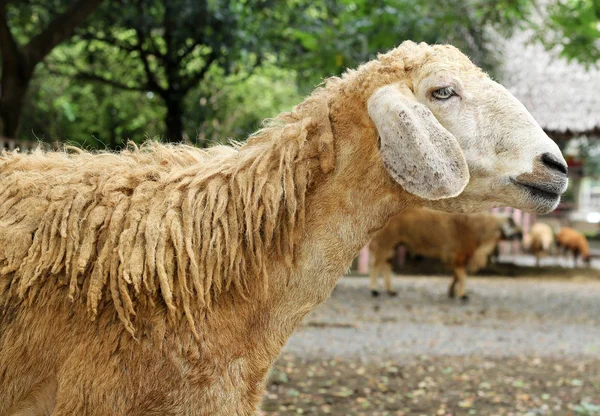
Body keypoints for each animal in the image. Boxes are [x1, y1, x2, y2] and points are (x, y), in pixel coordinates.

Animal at [368, 210, 524, 300]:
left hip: (393, 244)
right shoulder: (459, 254)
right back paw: (374, 290)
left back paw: (390, 291)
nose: (522, 235)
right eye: (513, 224)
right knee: (376, 266)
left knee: (386, 265)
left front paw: (452, 292)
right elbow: (462, 276)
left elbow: (457, 275)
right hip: (385, 241)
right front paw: (462, 295)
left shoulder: (459, 256)